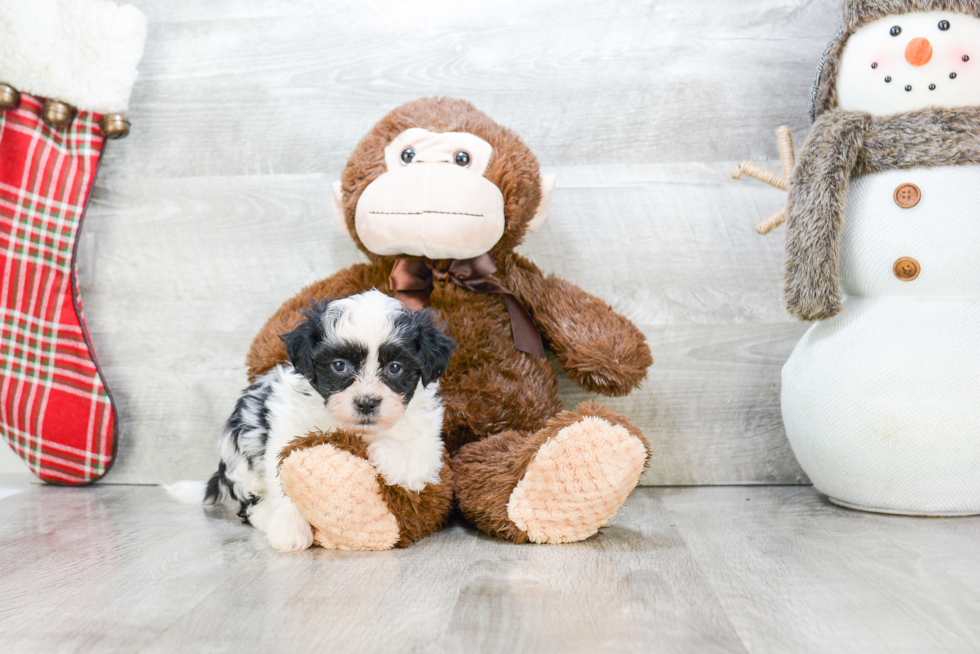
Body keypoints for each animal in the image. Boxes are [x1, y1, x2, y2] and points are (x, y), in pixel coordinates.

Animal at [168, 292, 456, 552]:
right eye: (339, 365)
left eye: (395, 367)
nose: (366, 403)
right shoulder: (287, 430)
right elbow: (285, 475)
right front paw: (289, 529)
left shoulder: (431, 441)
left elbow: (417, 455)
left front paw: (383, 453)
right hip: (241, 453)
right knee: (247, 501)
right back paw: (264, 514)